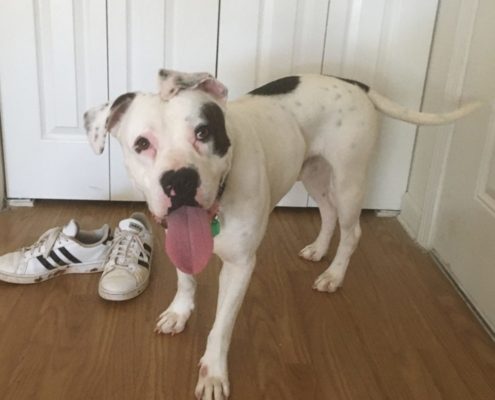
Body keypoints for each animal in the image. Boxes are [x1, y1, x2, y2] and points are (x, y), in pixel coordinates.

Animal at [83, 70, 478, 398]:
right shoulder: (179, 240)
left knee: (352, 231)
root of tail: (351, 81)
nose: (180, 179)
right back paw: (318, 250)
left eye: (203, 132)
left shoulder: (240, 267)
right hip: (313, 173)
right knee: (327, 213)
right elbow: (186, 280)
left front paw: (213, 374)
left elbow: (221, 326)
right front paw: (179, 313)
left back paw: (334, 274)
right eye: (142, 144)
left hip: (348, 180)